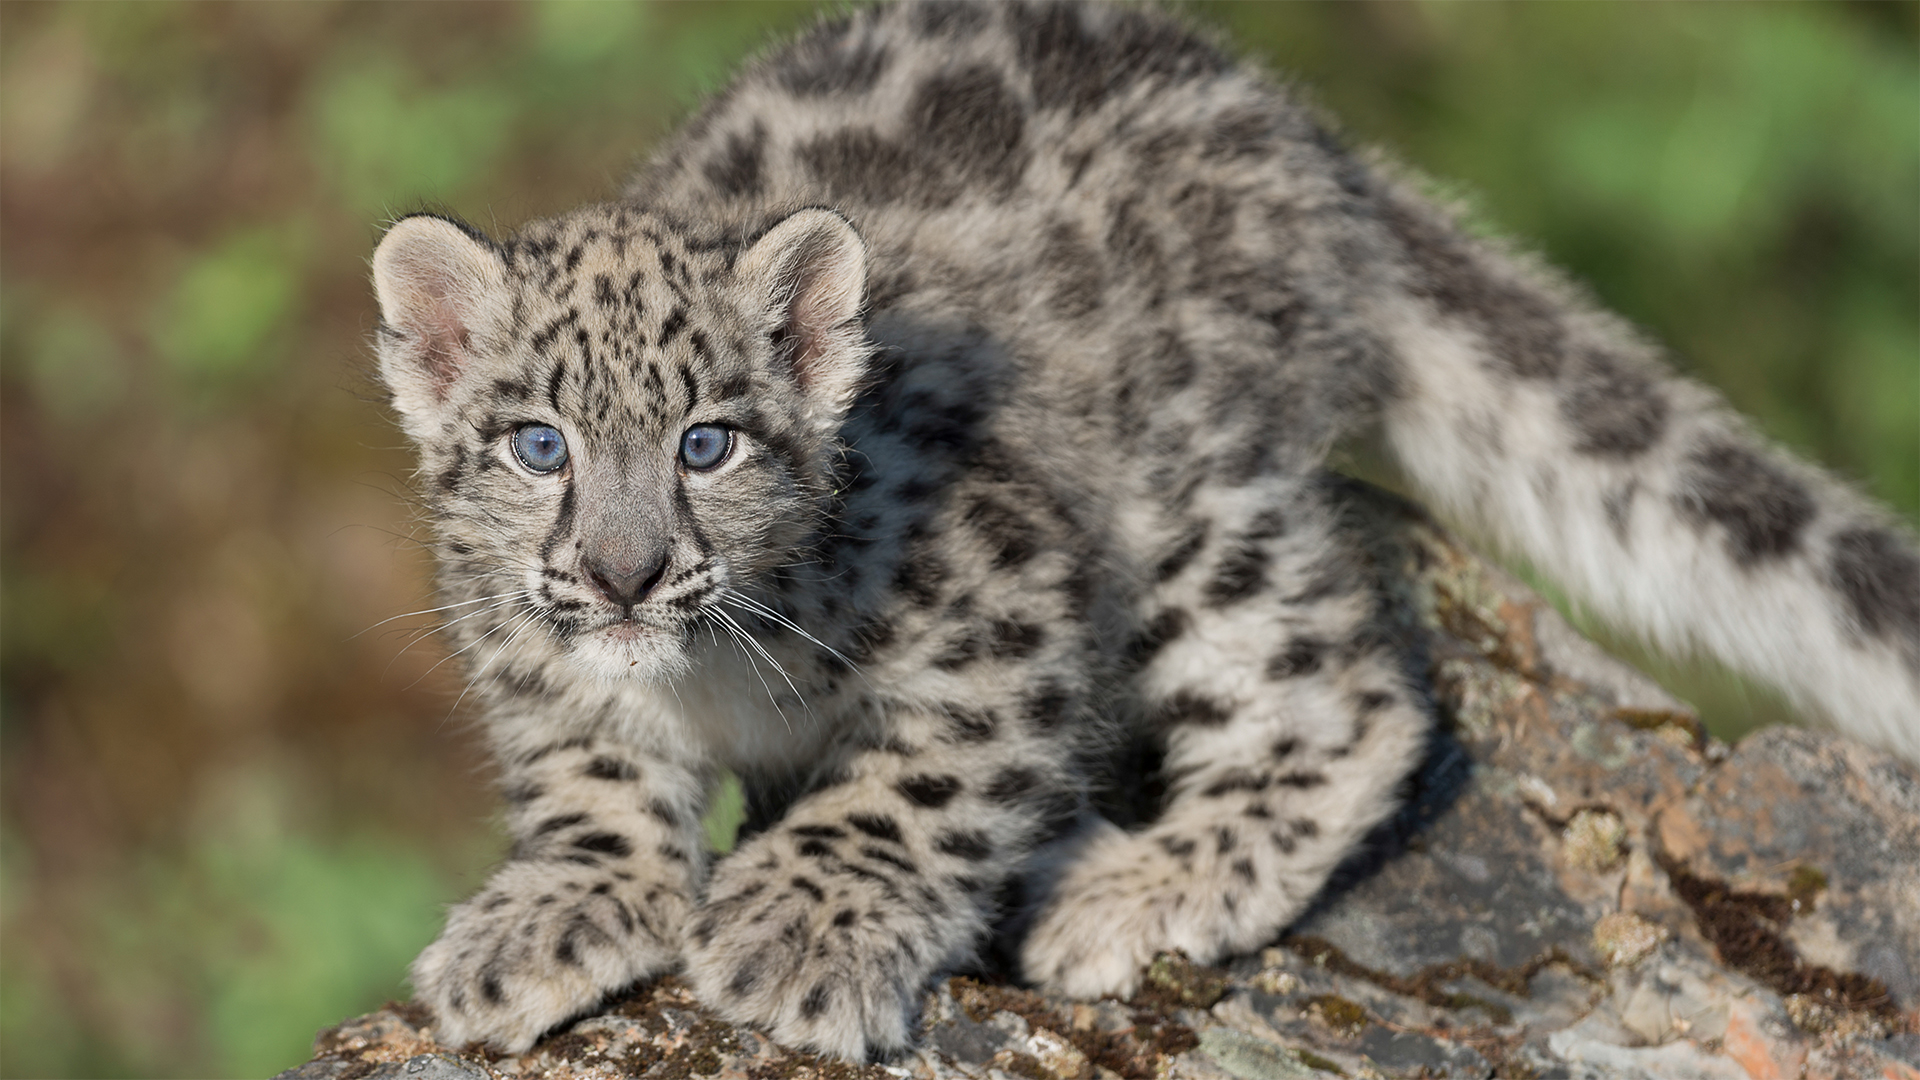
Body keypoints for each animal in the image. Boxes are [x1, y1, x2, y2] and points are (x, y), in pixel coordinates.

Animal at [367, 0, 1920, 1061]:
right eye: (540, 444)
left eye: (709, 441)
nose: (623, 572)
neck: (708, 678)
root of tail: (1294, 124)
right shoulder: (528, 654)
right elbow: (585, 775)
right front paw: (547, 919)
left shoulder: (1002, 595)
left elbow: (928, 779)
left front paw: (800, 927)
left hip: (1193, 508)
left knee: (1350, 707)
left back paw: (1117, 891)